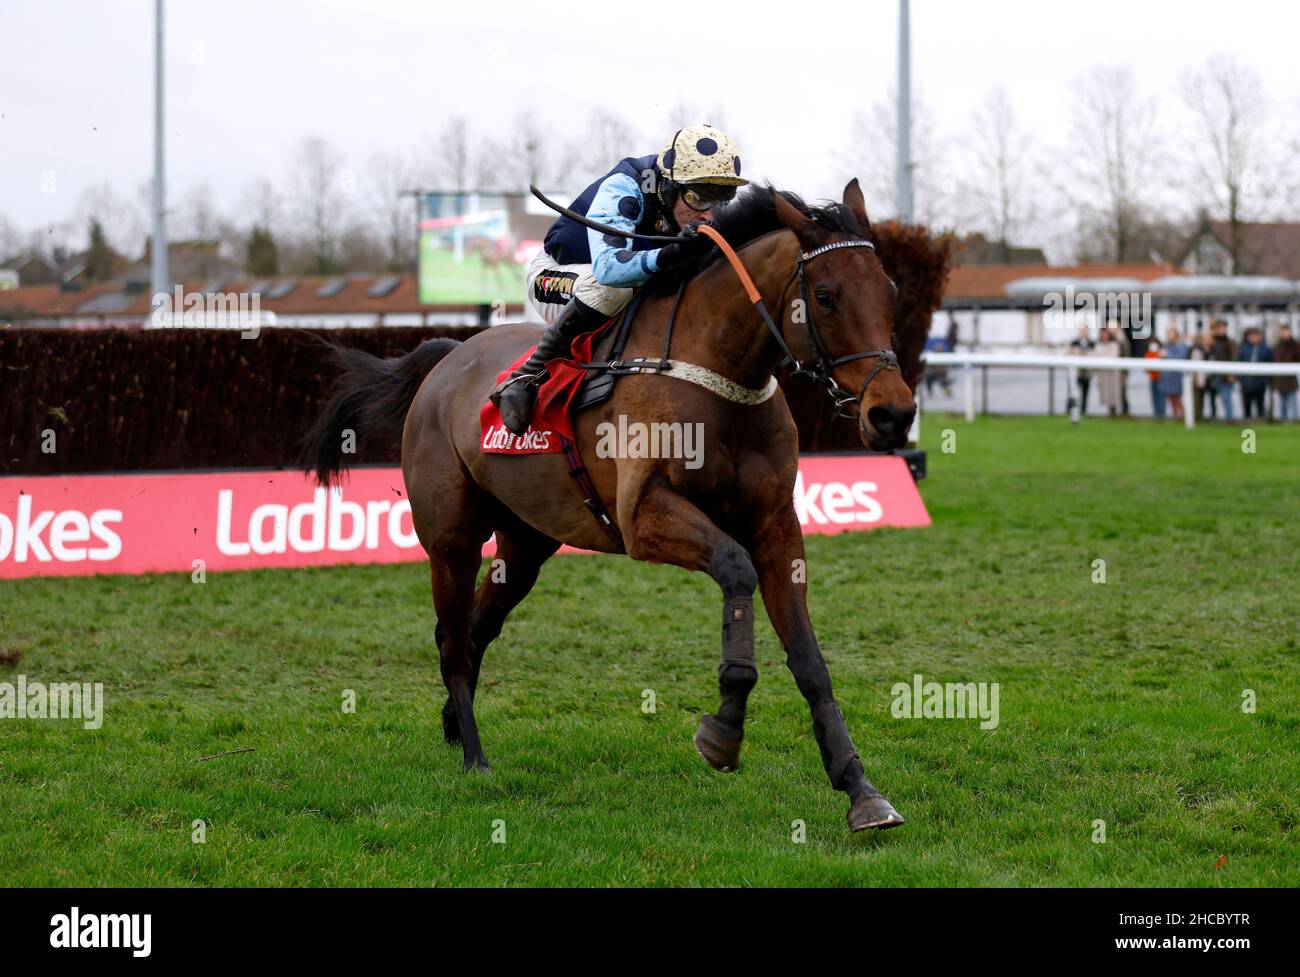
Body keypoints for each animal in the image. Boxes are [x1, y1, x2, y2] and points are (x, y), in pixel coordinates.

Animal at [300, 179, 920, 826]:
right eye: (824, 296)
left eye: (891, 291)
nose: (893, 413)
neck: (715, 367)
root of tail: (446, 361)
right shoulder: (645, 518)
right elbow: (734, 569)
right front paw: (723, 731)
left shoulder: (777, 526)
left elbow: (809, 660)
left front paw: (860, 790)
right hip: (451, 541)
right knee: (453, 639)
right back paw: (474, 756)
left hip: (525, 544)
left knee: (475, 628)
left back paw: (452, 725)